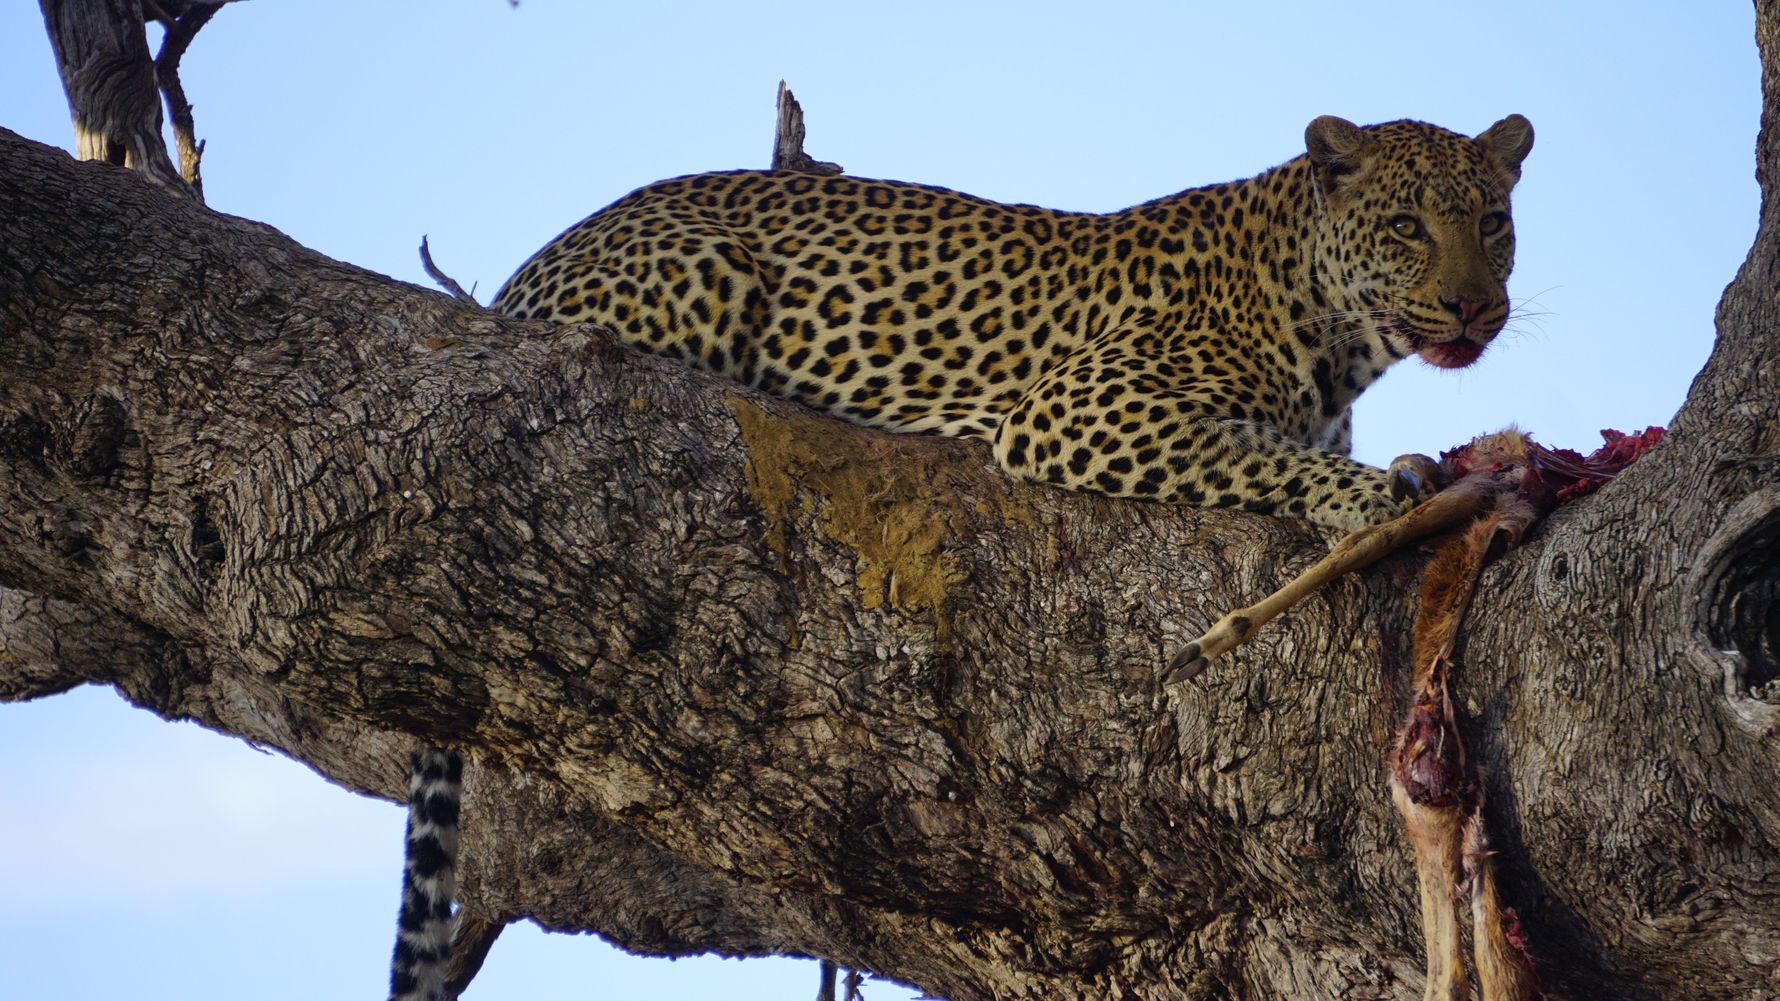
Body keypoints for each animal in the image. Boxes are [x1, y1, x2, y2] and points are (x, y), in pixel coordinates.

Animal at [491, 114, 1532, 532]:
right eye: (1406, 225)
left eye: (1491, 221)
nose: (1474, 304)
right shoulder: (1080, 406)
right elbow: (1255, 454)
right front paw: (1375, 488)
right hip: (707, 272)